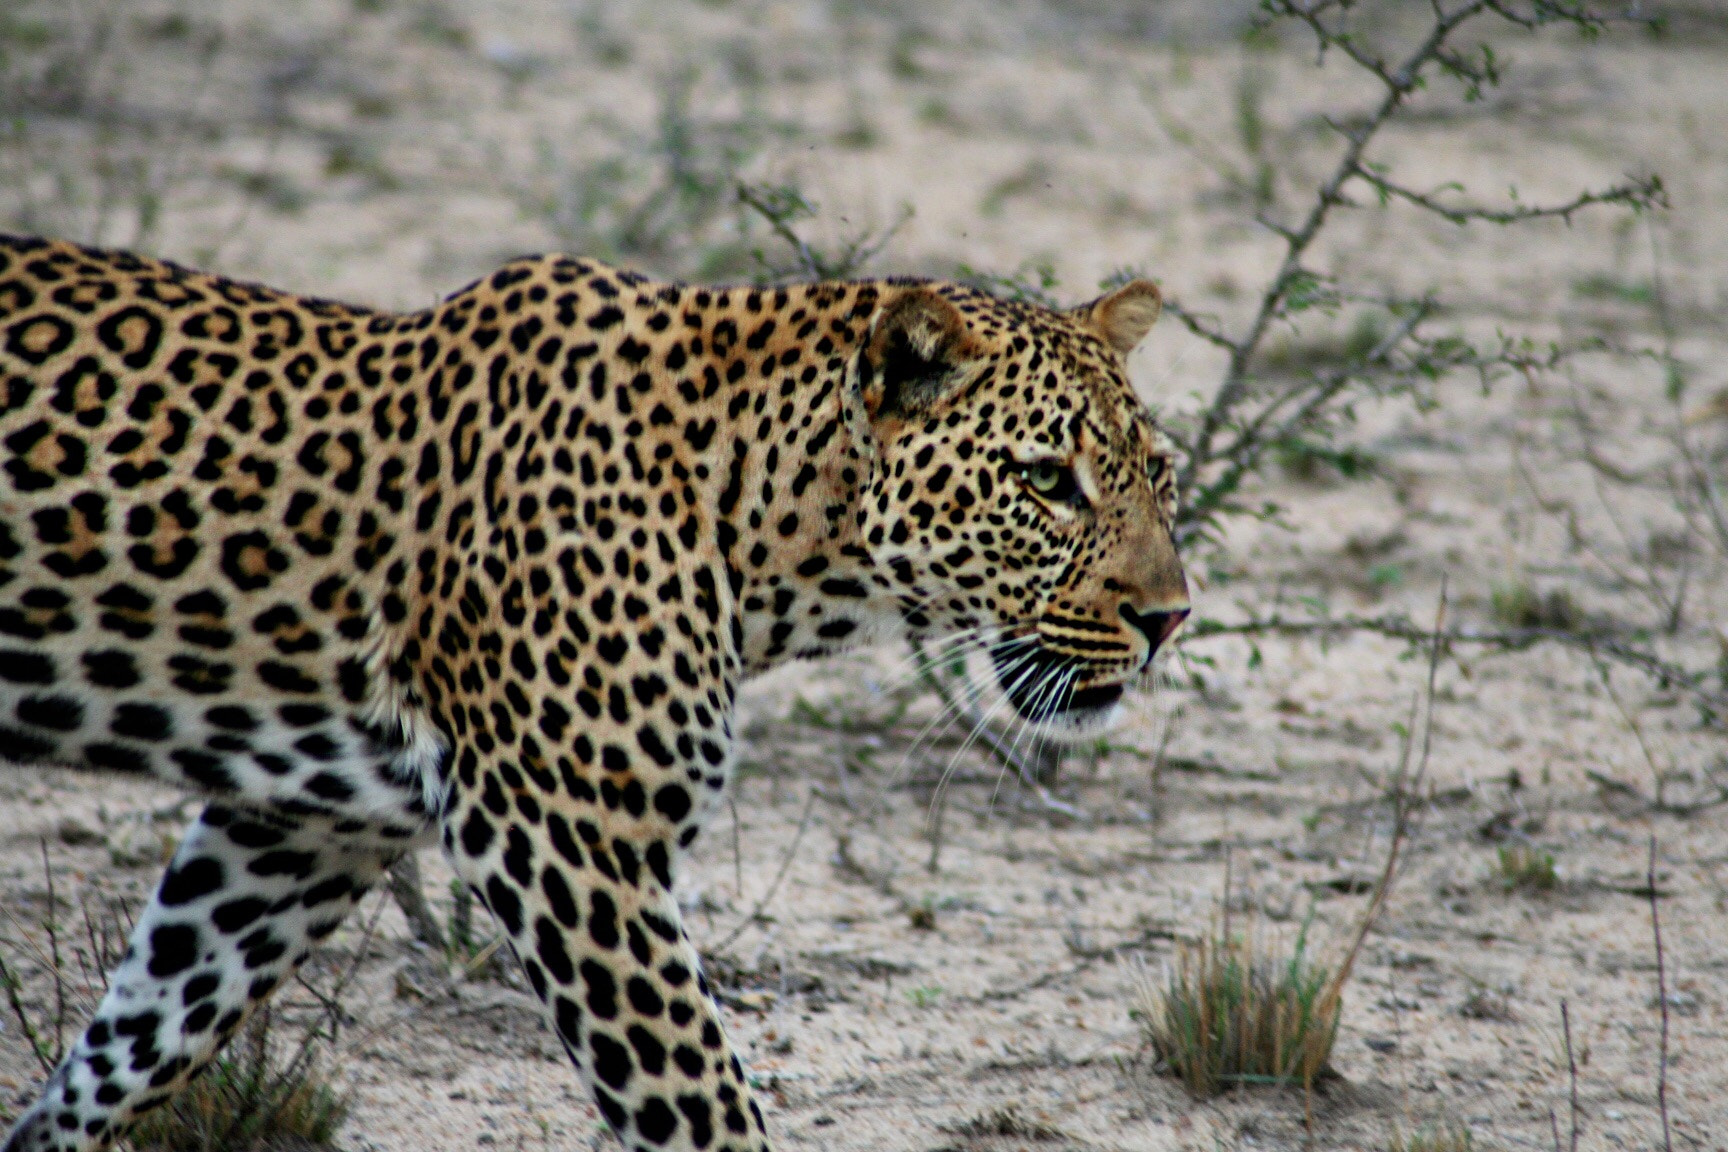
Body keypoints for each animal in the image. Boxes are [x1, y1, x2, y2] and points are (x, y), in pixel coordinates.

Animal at [0, 232, 1189, 1152]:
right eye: (1046, 481)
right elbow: (704, 1106)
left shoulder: (299, 827)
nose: (1170, 617)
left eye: (1159, 473)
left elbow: (138, 1036)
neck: (760, 528)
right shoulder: (571, 838)